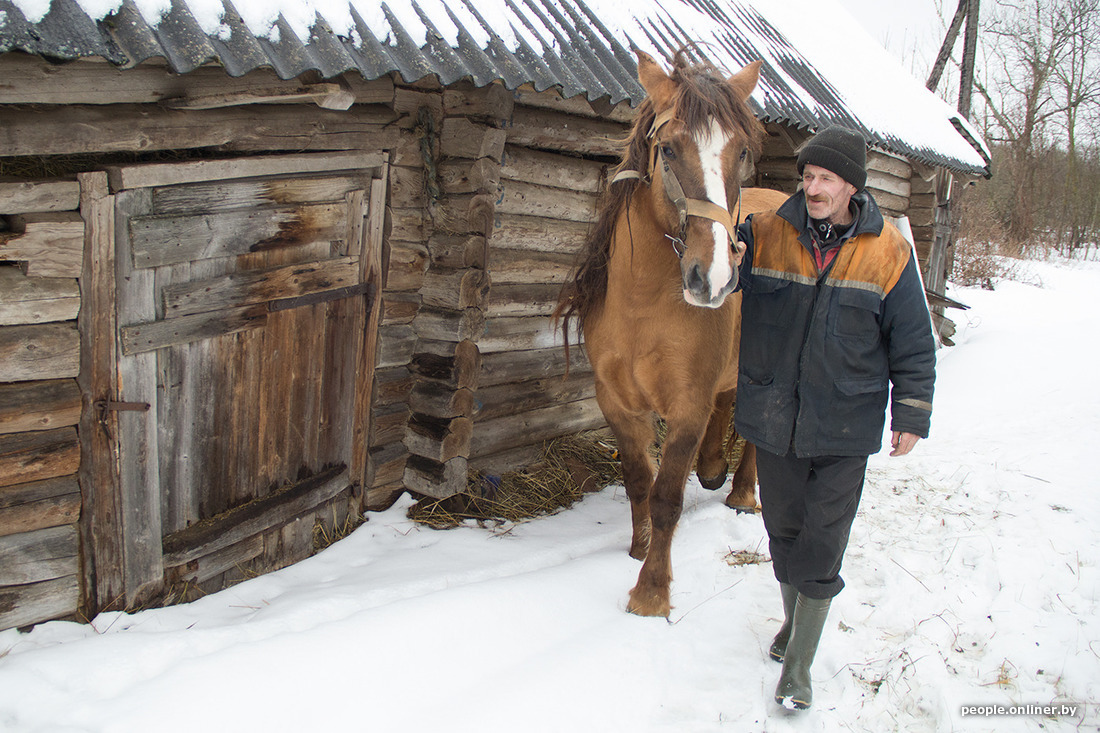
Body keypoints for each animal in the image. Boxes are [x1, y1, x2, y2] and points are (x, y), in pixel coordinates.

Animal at [558, 48, 792, 611]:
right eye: (667, 149)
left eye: (743, 151)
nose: (715, 278)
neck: (643, 307)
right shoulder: (617, 403)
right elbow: (639, 481)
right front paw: (638, 550)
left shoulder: (687, 407)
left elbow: (667, 497)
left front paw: (651, 592)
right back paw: (713, 468)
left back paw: (741, 492)